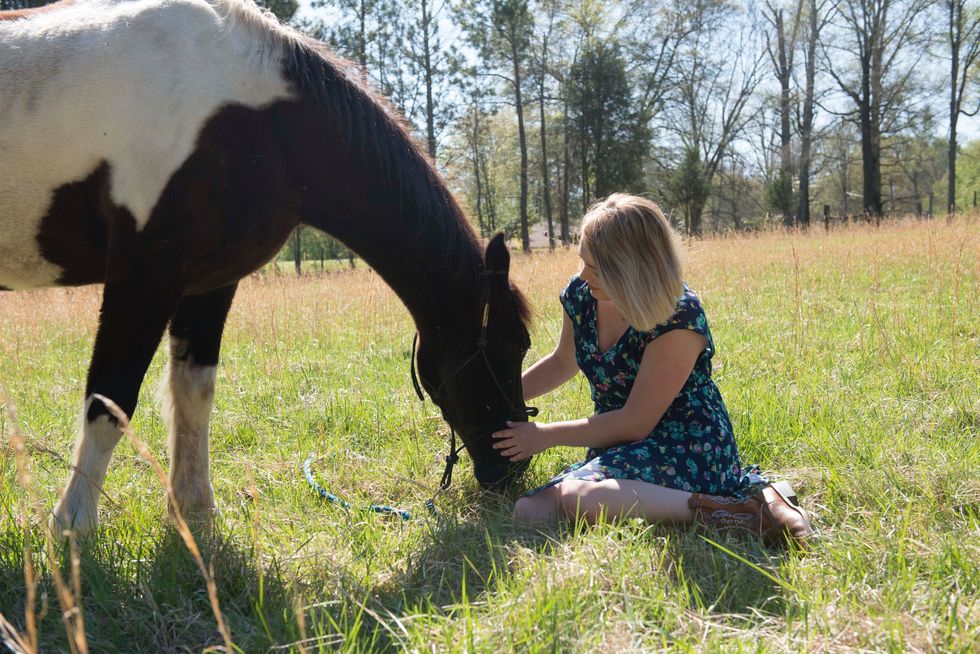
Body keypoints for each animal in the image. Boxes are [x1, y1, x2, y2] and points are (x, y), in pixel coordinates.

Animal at [0, 0, 534, 536]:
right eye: (512, 346)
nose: (513, 466)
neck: (262, 125)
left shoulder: (209, 282)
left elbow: (194, 393)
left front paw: (194, 512)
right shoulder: (143, 278)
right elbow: (110, 402)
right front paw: (73, 526)